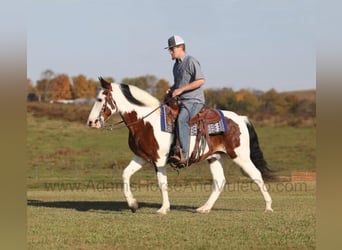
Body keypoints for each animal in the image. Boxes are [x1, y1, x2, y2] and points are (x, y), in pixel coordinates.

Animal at [87, 77, 274, 215]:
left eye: (100, 99)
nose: (91, 122)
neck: (145, 122)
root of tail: (240, 118)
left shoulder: (159, 160)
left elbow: (162, 183)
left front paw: (163, 209)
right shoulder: (141, 157)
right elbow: (125, 174)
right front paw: (133, 204)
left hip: (240, 156)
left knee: (257, 175)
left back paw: (268, 206)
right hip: (214, 157)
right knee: (219, 181)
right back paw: (204, 208)